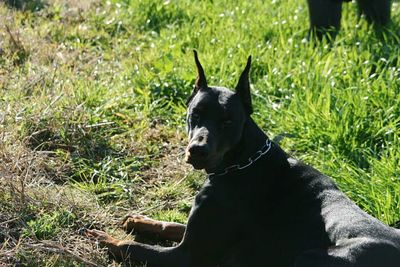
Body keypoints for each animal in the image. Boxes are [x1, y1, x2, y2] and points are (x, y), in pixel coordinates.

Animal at [87, 51, 400, 266]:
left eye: (228, 121)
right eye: (196, 114)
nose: (197, 150)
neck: (241, 163)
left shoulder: (187, 255)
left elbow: (133, 247)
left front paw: (105, 238)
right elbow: (172, 225)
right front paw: (138, 220)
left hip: (312, 257)